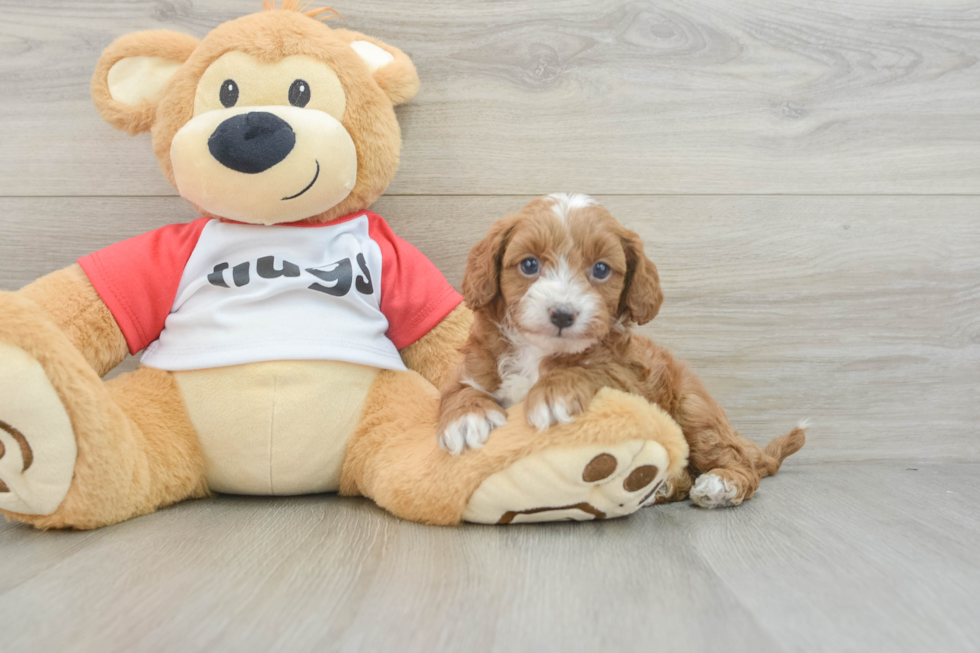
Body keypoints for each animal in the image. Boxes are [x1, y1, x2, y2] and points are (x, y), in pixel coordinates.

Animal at [436, 194, 804, 510]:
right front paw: (467, 419)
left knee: (741, 465)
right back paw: (663, 486)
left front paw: (555, 393)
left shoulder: (627, 378)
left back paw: (720, 486)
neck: (539, 352)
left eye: (601, 269)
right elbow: (459, 388)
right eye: (529, 265)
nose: (563, 314)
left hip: (694, 410)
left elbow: (590, 370)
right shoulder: (477, 365)